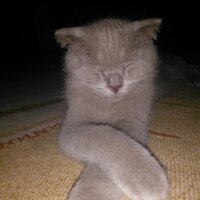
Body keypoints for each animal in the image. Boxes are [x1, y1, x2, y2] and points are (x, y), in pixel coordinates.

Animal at [55, 18, 169, 199]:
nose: (115, 86)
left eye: (128, 65)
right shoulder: (72, 125)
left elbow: (118, 139)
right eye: (98, 69)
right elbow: (105, 134)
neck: (109, 104)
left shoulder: (133, 120)